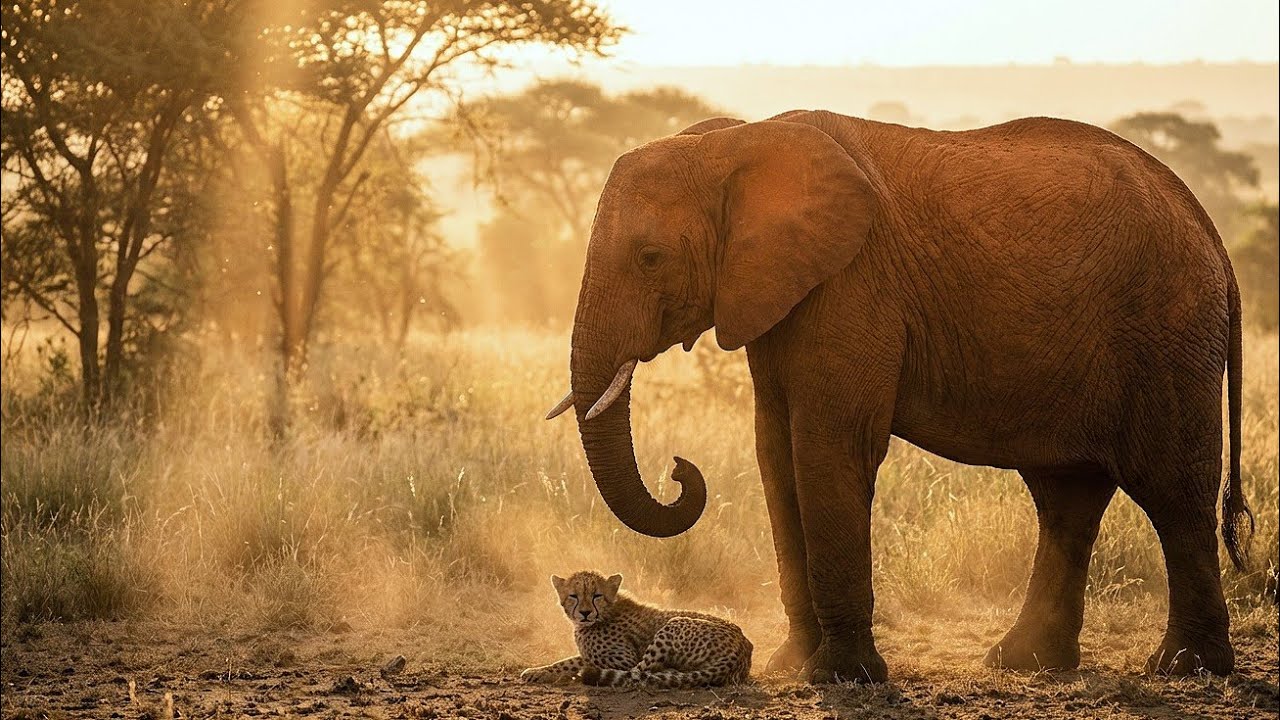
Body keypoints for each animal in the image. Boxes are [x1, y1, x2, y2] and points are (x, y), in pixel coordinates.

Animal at [520, 570, 753, 689]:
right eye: (573, 596)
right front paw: (538, 671)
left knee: (638, 674)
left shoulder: (624, 659)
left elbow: (580, 662)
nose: (585, 613)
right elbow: (570, 660)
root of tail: (741, 644)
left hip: (674, 622)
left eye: (597, 595)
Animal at [544, 109, 1252, 683]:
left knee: (1173, 492)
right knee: (1067, 497)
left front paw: (840, 677)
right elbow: (776, 453)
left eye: (649, 257)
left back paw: (1185, 670)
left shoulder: (853, 285)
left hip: (1166, 333)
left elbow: (827, 446)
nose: (678, 468)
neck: (735, 142)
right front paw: (790, 667)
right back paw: (1024, 663)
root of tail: (1214, 236)